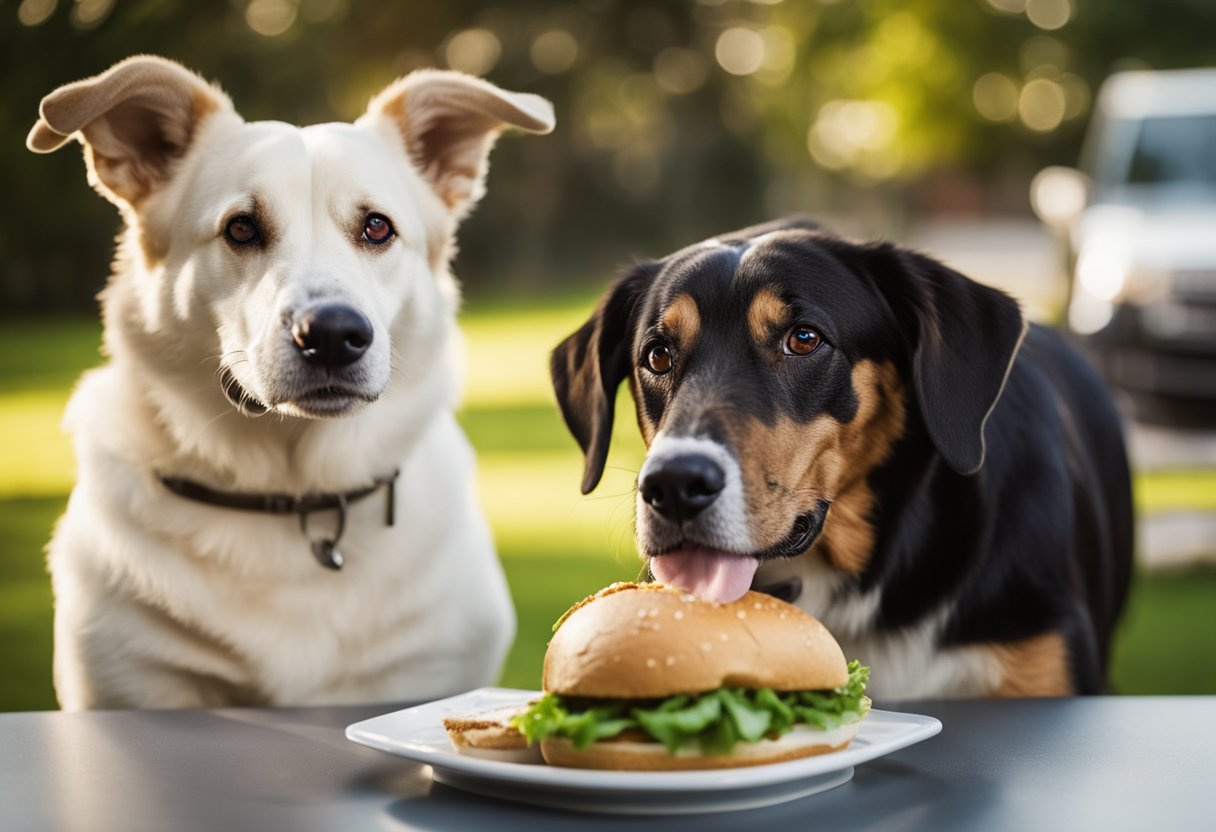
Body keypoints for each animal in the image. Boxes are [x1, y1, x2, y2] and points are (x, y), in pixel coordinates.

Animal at [28, 55, 554, 710]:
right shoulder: (131, 680)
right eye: (241, 229)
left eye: (377, 228)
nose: (331, 334)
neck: (295, 492)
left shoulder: (427, 669)